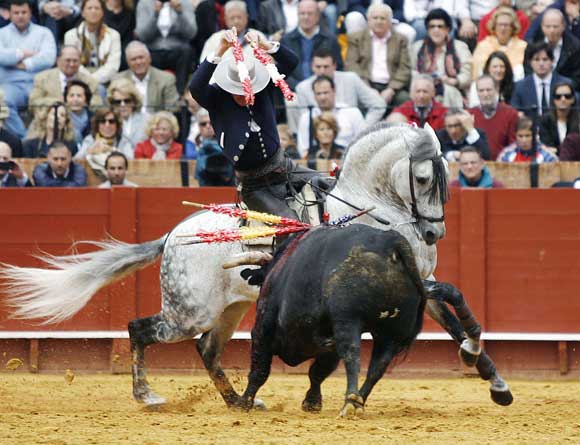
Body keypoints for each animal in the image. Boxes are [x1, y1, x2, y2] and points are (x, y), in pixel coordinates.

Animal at [236, 224, 430, 414]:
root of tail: (390, 242)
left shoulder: (262, 328)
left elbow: (260, 370)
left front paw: (244, 402)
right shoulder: (328, 345)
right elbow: (317, 372)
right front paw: (312, 403)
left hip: (348, 319)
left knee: (352, 354)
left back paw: (351, 402)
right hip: (392, 333)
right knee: (378, 366)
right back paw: (359, 401)